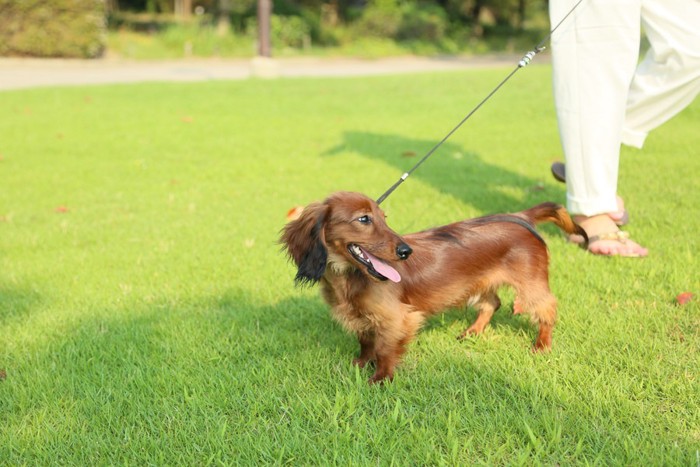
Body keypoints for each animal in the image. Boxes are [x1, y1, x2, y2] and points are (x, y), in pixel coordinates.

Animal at [282, 191, 588, 384]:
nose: (406, 251)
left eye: (383, 218)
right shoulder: (362, 317)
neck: (350, 277)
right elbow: (366, 342)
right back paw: (473, 332)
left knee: (547, 309)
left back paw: (542, 344)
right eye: (364, 219)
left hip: (530, 284)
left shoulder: (397, 318)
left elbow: (384, 349)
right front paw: (359, 363)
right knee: (492, 303)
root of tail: (521, 216)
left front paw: (381, 378)